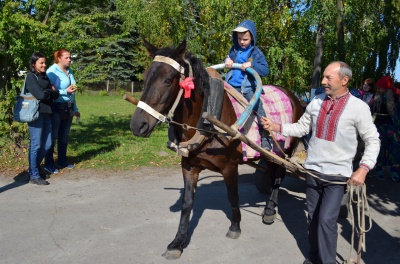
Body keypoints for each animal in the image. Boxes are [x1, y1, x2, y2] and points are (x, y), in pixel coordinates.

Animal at [129, 39, 304, 260]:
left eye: (168, 80)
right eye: (144, 77)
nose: (138, 125)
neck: (208, 117)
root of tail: (295, 97)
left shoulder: (230, 167)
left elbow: (232, 196)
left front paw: (235, 226)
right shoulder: (189, 166)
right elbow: (187, 204)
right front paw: (178, 242)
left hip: (284, 149)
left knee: (279, 174)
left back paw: (270, 210)